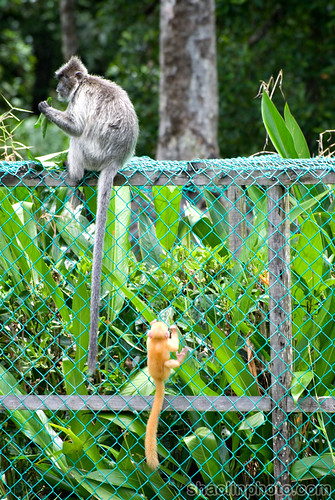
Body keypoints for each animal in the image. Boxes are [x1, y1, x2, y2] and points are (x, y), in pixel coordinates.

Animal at [38, 55, 138, 376]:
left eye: (62, 79)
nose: (58, 89)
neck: (86, 82)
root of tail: (115, 159)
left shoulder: (80, 98)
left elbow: (77, 125)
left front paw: (45, 108)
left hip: (93, 153)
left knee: (78, 138)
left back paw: (73, 177)